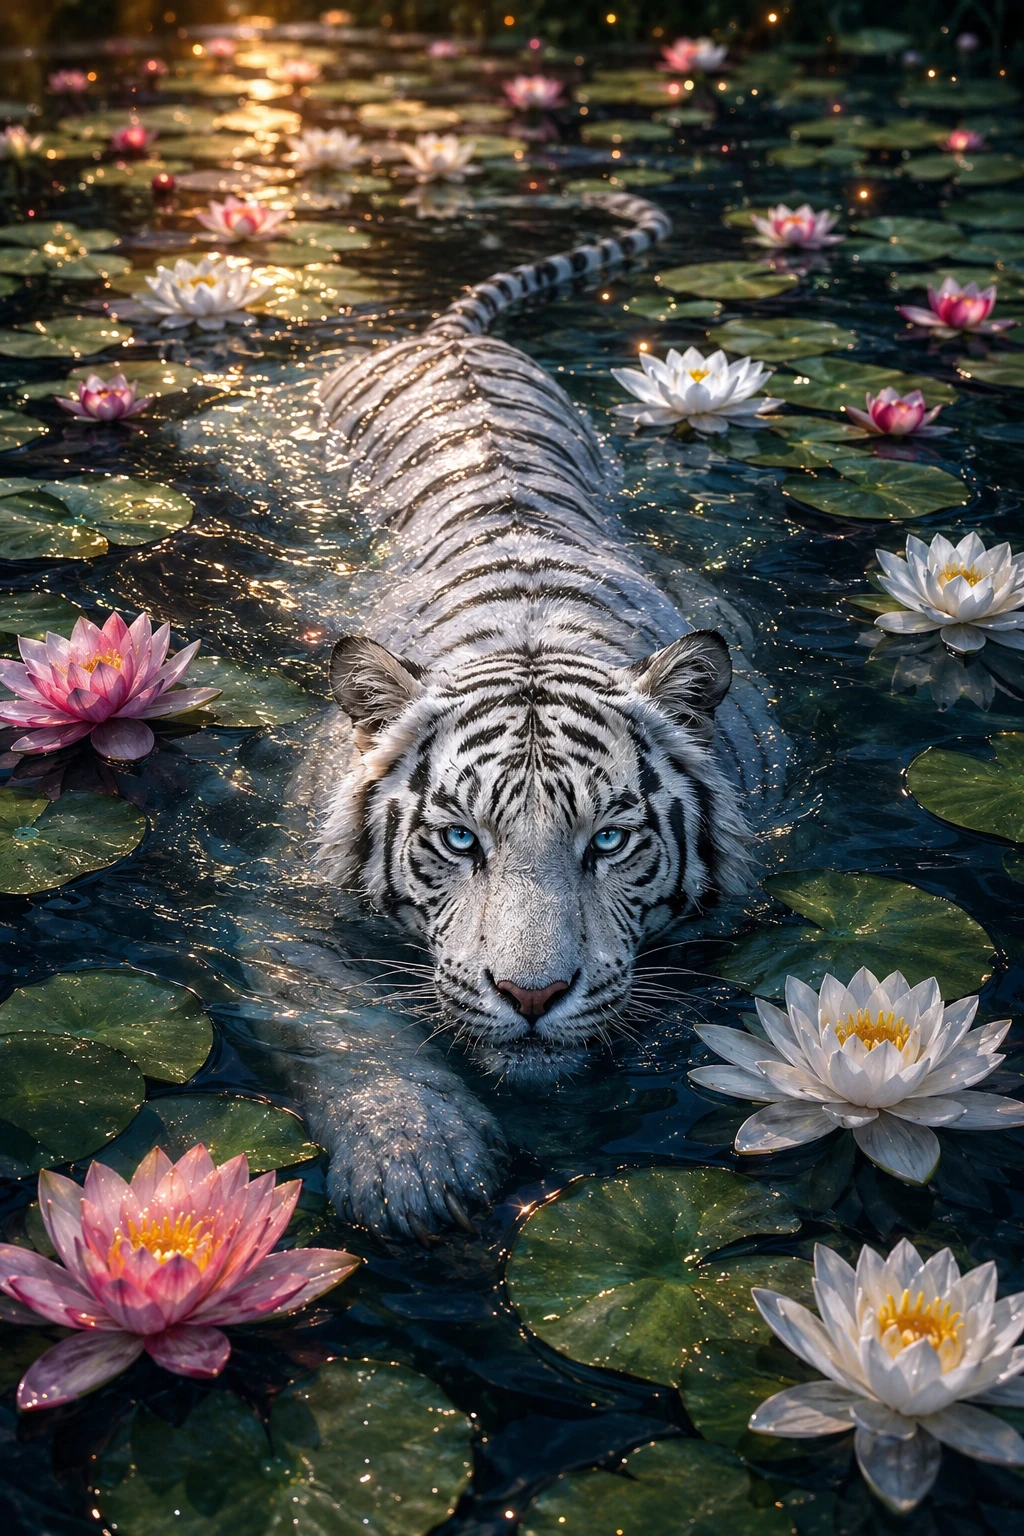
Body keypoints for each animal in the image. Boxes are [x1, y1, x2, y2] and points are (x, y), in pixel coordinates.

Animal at [292, 193, 782, 1238]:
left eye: (609, 841)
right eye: (460, 840)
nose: (531, 995)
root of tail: (447, 336)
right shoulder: (280, 907)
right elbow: (339, 1019)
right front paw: (412, 1163)